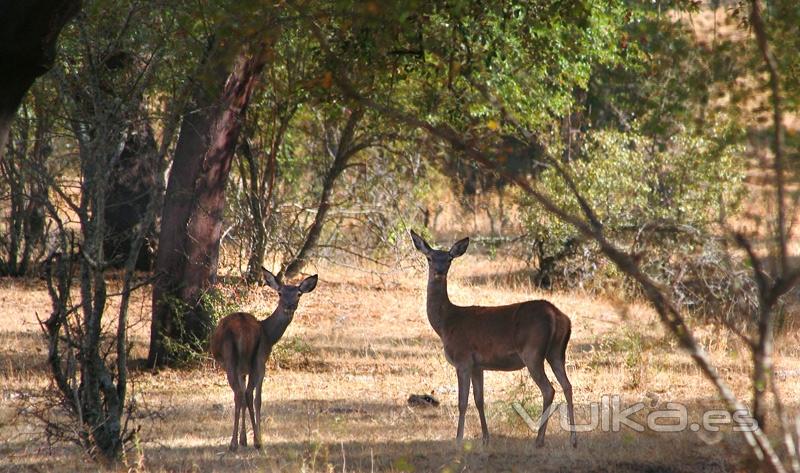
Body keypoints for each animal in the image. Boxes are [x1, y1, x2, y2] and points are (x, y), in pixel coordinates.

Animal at [211, 270, 318, 450]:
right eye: (280, 292)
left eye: (299, 293)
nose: (289, 306)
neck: (269, 335)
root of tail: (242, 331)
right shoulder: (261, 362)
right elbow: (257, 399)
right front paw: (252, 438)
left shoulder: (243, 371)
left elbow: (243, 399)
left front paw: (243, 439)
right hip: (255, 361)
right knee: (249, 394)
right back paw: (255, 442)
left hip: (233, 360)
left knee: (239, 394)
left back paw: (236, 442)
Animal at [412, 230, 576, 448]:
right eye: (429, 258)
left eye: (449, 259)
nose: (439, 271)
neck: (446, 324)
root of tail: (558, 316)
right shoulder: (478, 365)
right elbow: (479, 400)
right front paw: (485, 438)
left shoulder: (463, 360)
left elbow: (462, 402)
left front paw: (458, 439)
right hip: (556, 352)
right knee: (567, 386)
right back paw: (573, 440)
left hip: (532, 352)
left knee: (549, 389)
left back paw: (539, 440)